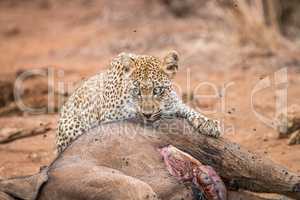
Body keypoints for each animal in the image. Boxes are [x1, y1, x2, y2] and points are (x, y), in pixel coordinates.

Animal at [56, 50, 221, 152]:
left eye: (157, 90)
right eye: (137, 91)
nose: (147, 114)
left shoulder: (174, 103)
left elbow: (188, 109)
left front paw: (209, 123)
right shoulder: (108, 117)